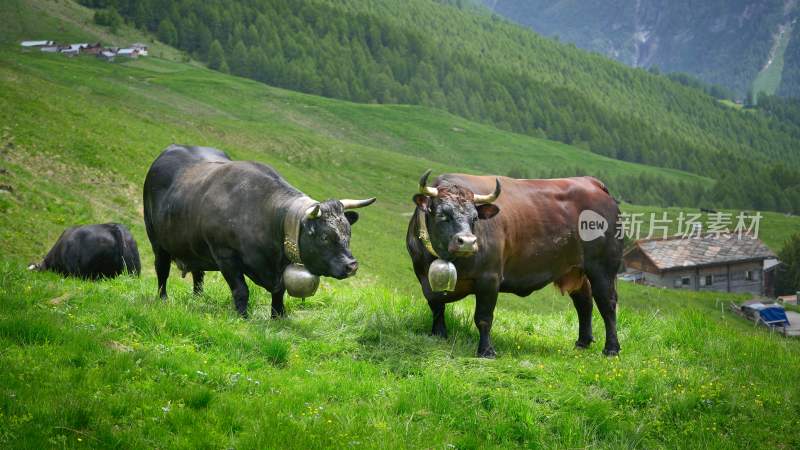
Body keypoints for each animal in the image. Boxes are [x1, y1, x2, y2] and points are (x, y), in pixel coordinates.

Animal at [143, 144, 376, 316]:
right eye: (325, 236)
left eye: (348, 233)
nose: (352, 266)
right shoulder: (225, 256)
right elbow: (241, 290)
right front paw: (242, 317)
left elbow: (279, 292)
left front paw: (278, 316)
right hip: (157, 242)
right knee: (162, 271)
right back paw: (163, 299)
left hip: (193, 248)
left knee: (198, 275)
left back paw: (198, 298)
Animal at [406, 171, 624, 356]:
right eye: (442, 215)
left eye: (475, 217)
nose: (467, 241)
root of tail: (591, 182)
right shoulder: (423, 277)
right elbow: (436, 307)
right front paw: (438, 334)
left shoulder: (489, 278)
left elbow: (483, 317)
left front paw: (486, 351)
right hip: (575, 269)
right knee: (584, 301)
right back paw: (582, 342)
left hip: (603, 268)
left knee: (607, 303)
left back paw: (611, 349)